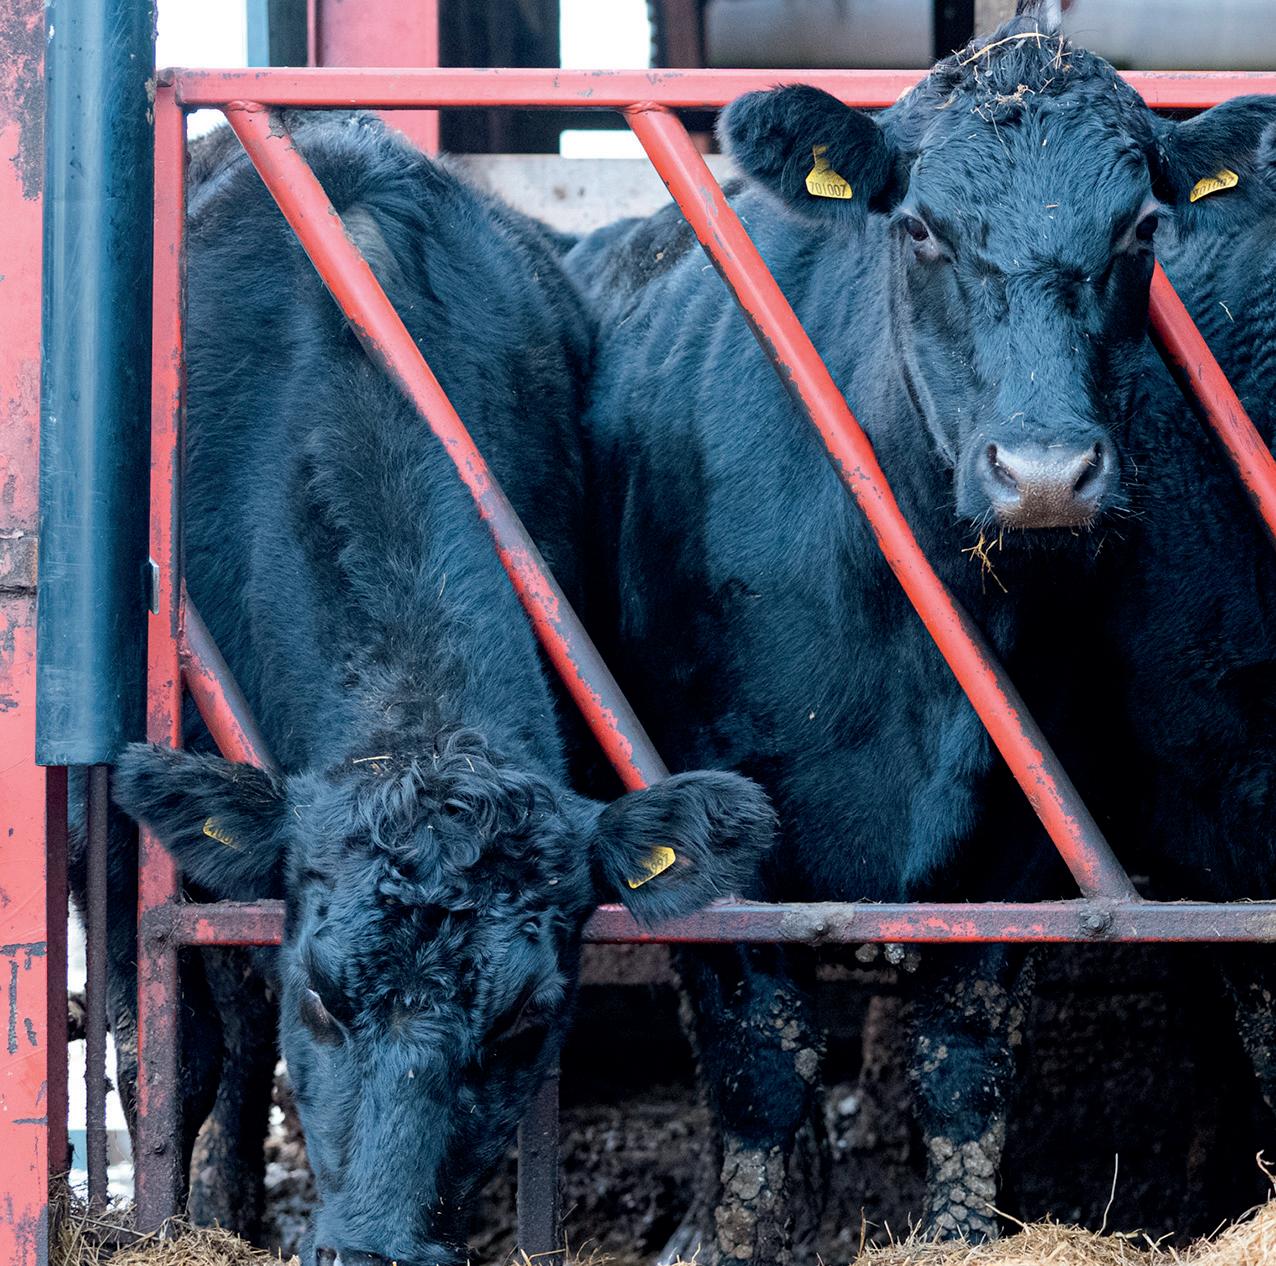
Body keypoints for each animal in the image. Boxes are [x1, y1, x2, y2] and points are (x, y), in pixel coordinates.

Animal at [566, 11, 1276, 1261]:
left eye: (1140, 227)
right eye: (921, 228)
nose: (1044, 472)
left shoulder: (1033, 811)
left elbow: (964, 1056)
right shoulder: (696, 786)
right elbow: (757, 1052)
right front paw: (730, 1233)